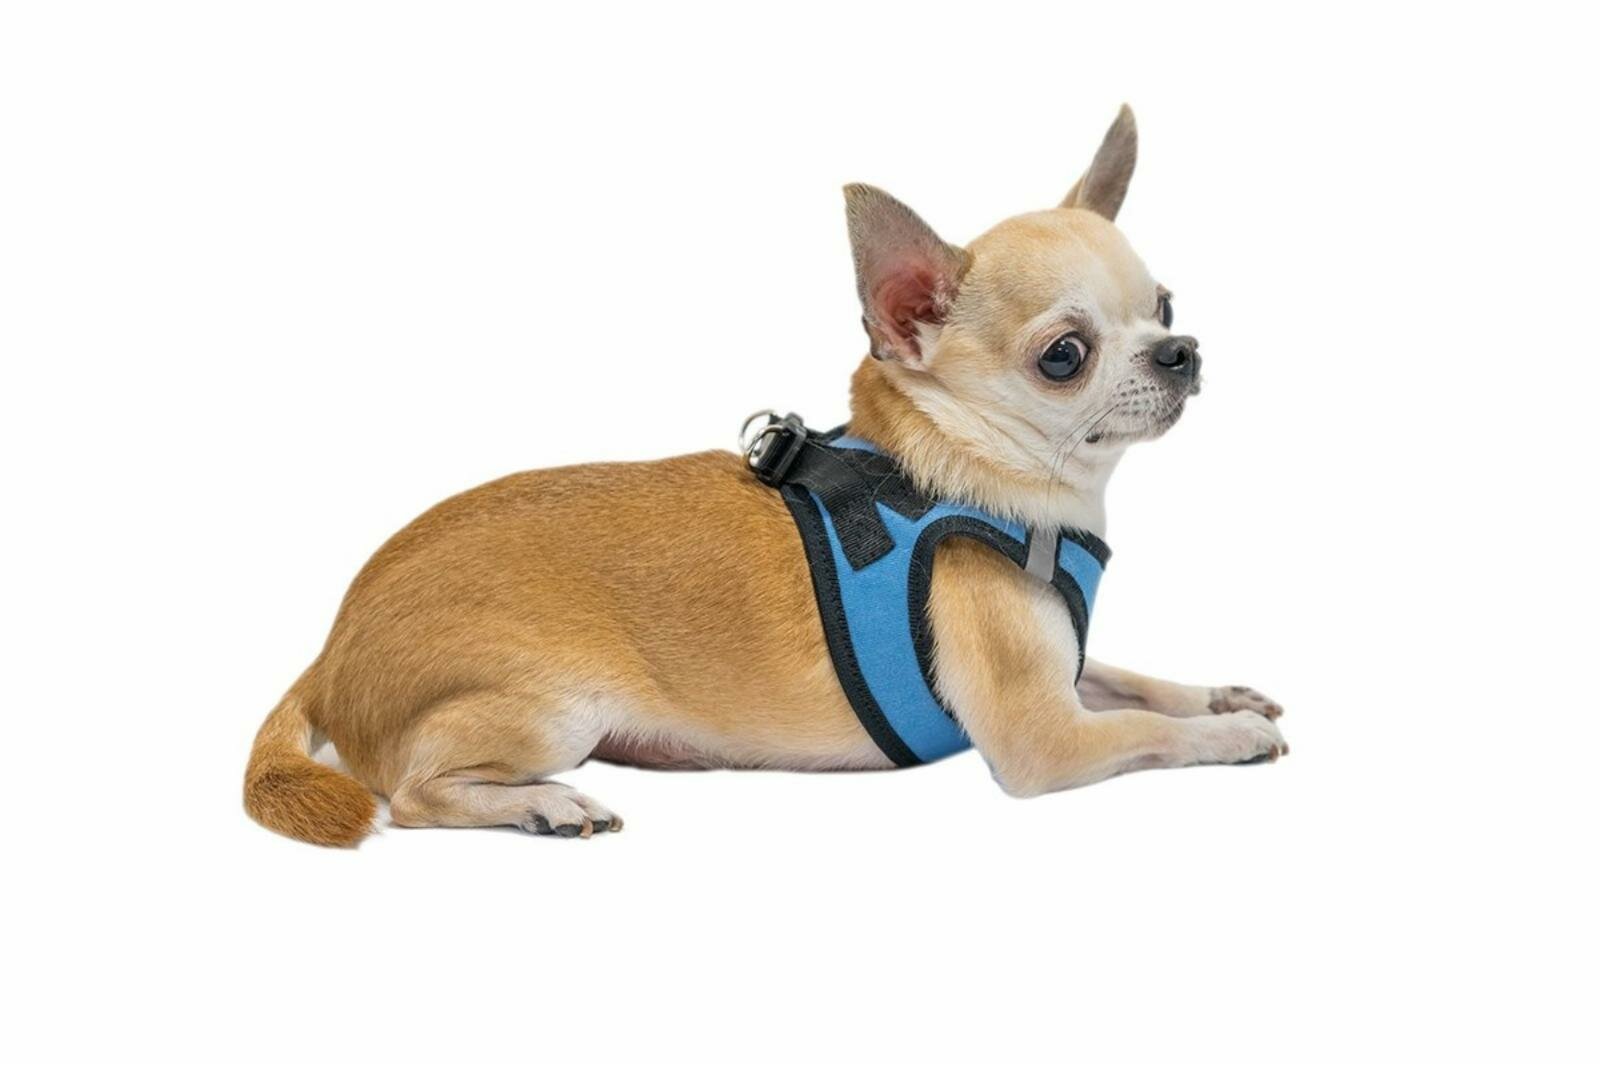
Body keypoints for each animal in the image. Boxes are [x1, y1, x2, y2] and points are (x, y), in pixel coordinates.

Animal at [244, 105, 1287, 847]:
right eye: (1064, 356)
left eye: (1166, 306)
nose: (1181, 350)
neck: (969, 473)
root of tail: (333, 648)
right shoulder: (1044, 738)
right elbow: (1147, 731)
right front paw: (1231, 739)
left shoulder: (1062, 669)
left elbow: (1133, 681)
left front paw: (1219, 697)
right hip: (554, 713)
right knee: (410, 795)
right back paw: (544, 804)